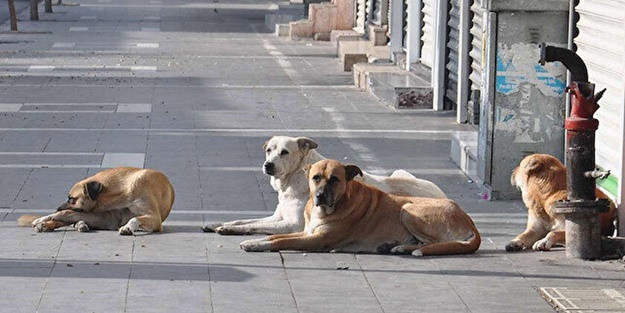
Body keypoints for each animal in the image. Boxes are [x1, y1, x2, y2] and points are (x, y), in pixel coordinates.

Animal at [18, 166, 174, 234]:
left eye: (71, 198)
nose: (57, 208)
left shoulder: (154, 218)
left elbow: (134, 218)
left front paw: (128, 227)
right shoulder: (106, 217)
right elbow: (64, 214)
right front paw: (43, 218)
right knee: (68, 218)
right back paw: (46, 224)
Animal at [240, 160, 482, 255]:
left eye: (335, 179)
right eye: (315, 177)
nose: (319, 196)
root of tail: (469, 221)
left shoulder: (316, 240)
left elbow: (280, 241)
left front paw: (255, 245)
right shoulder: (306, 232)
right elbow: (273, 237)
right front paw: (255, 241)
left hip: (408, 209)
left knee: (434, 243)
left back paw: (405, 248)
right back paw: (397, 246)